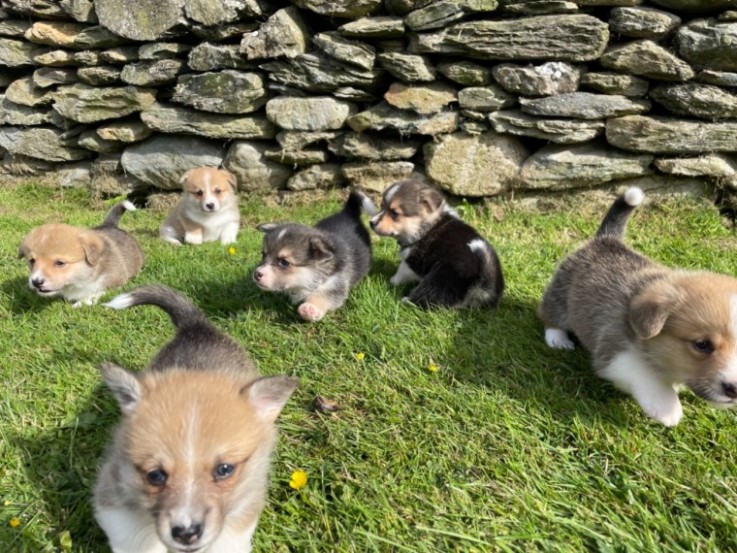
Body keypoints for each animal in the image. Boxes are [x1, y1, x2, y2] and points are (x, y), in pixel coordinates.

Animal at [253, 190, 376, 322]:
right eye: (263, 254)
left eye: (284, 262)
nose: (257, 274)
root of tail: (348, 212)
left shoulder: (337, 282)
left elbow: (324, 296)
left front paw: (310, 308)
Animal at [370, 181, 504, 310]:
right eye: (381, 206)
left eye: (394, 213)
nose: (371, 223)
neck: (426, 227)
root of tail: (480, 288)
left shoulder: (413, 260)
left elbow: (401, 271)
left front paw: (392, 281)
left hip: (438, 279)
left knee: (427, 298)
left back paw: (406, 300)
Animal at [536, 188, 737, 424]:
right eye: (702, 345)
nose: (734, 389)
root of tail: (607, 238)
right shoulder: (614, 351)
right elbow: (644, 372)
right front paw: (666, 406)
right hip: (561, 293)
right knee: (551, 315)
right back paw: (558, 339)